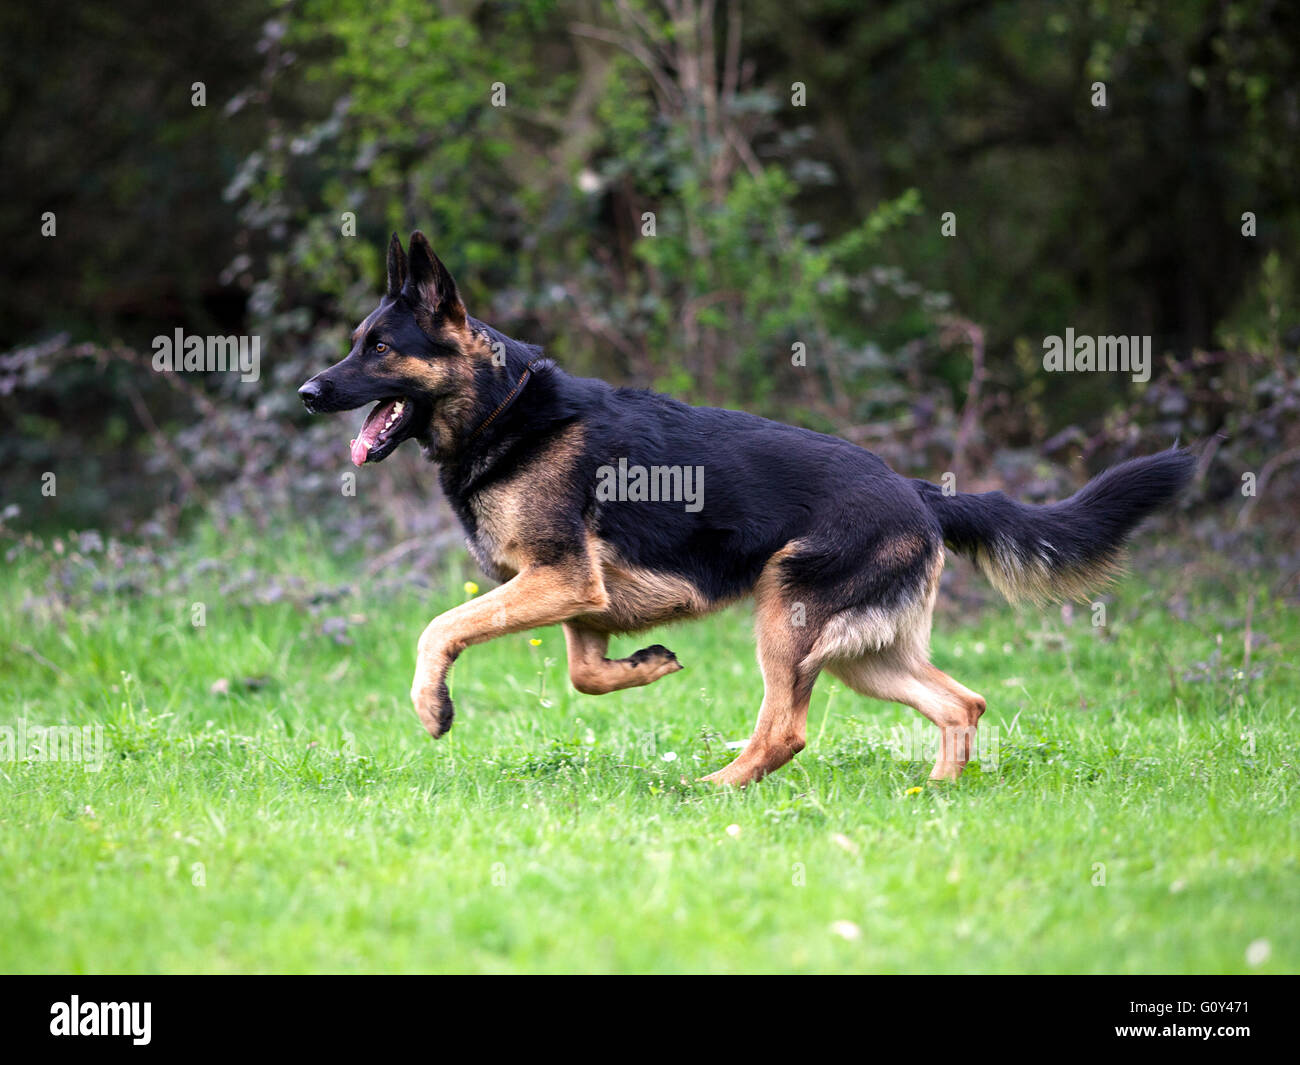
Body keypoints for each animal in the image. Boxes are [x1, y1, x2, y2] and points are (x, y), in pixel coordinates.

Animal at [299, 231, 1190, 785]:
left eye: (380, 348)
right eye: (355, 342)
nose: (307, 391)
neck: (502, 411)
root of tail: (921, 491)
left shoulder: (558, 581)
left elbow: (440, 628)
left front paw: (432, 706)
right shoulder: (579, 594)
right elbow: (586, 673)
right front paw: (648, 665)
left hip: (785, 618)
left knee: (787, 727)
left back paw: (717, 785)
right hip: (865, 654)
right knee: (958, 701)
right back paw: (936, 791)